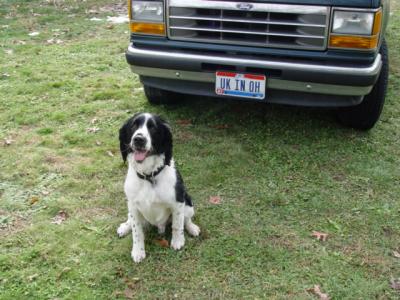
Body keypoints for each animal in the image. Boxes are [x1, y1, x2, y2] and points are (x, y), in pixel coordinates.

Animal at [117, 112, 202, 262]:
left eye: (153, 127)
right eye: (133, 125)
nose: (139, 139)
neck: (149, 176)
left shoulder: (178, 203)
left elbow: (177, 224)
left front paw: (178, 241)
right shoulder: (133, 206)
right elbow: (136, 231)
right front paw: (138, 251)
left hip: (188, 202)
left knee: (186, 219)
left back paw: (192, 228)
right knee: (130, 219)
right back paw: (124, 227)